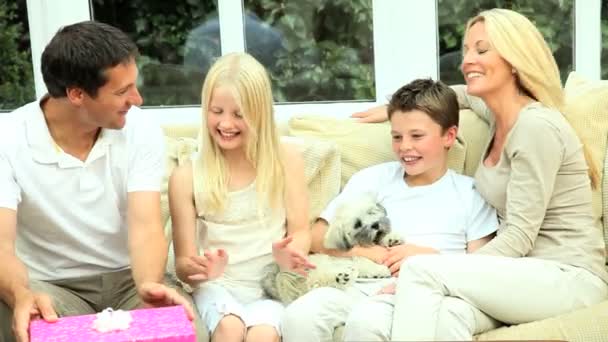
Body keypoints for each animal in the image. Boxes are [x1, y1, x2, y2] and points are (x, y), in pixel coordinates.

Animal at [262, 194, 402, 304]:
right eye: (357, 224)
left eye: (371, 212)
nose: (375, 225)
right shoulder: (353, 256)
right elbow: (364, 260)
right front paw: (380, 269)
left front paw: (393, 239)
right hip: (318, 270)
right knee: (323, 280)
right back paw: (342, 277)